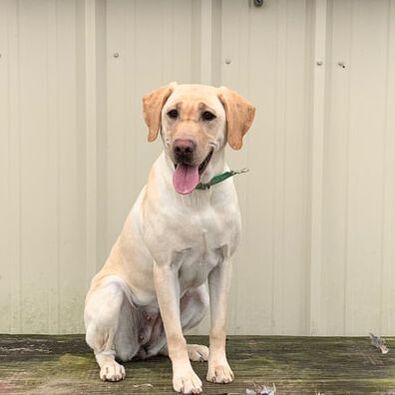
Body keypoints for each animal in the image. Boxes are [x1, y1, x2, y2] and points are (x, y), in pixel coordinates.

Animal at [84, 82, 256, 394]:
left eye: (209, 115)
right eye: (172, 113)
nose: (182, 148)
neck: (199, 196)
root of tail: (140, 347)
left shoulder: (224, 265)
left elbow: (218, 327)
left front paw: (218, 367)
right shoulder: (165, 269)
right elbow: (175, 334)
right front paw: (185, 378)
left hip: (199, 297)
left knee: (162, 344)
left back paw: (193, 350)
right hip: (111, 294)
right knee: (104, 349)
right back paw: (111, 366)